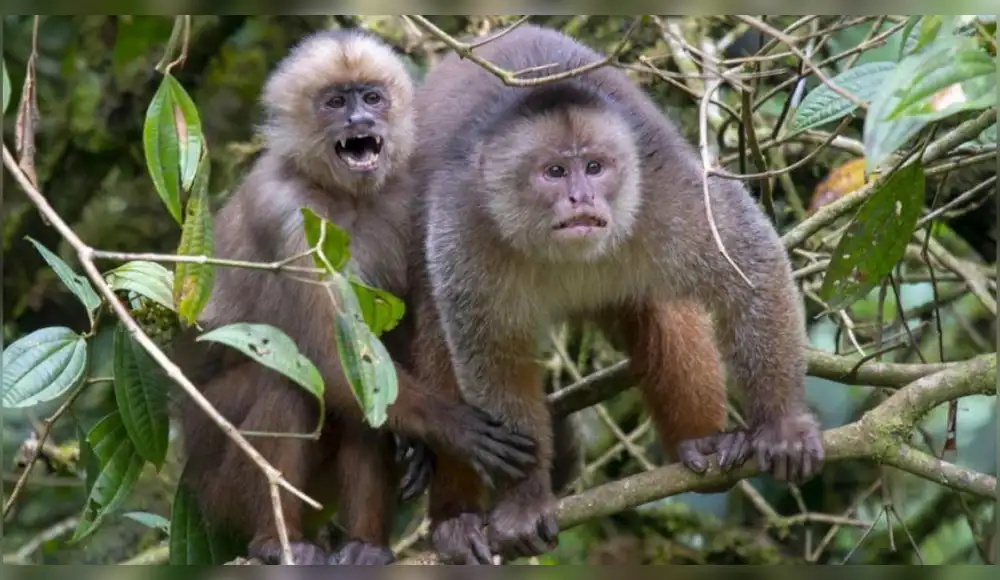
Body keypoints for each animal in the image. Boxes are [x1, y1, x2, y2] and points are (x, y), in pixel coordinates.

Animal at [173, 28, 537, 566]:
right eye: (335, 102)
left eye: (371, 98)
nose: (360, 122)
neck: (344, 195)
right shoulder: (282, 211)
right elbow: (329, 353)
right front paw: (452, 427)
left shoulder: (409, 193)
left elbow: (385, 351)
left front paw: (419, 450)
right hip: (212, 473)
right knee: (289, 381)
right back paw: (276, 543)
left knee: (363, 403)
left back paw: (365, 546)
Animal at [402, 23, 824, 564]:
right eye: (555, 172)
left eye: (595, 167)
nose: (581, 198)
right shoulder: (465, 223)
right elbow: (491, 356)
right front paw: (523, 501)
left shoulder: (666, 188)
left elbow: (752, 268)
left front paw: (784, 426)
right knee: (439, 337)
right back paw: (456, 520)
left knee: (664, 309)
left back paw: (702, 446)